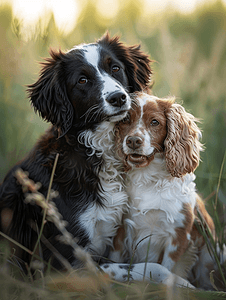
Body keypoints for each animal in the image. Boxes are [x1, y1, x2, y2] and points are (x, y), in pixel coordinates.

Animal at [111, 92, 224, 290]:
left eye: (155, 122)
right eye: (125, 119)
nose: (133, 141)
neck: (148, 178)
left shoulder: (178, 236)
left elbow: (167, 268)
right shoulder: (122, 231)